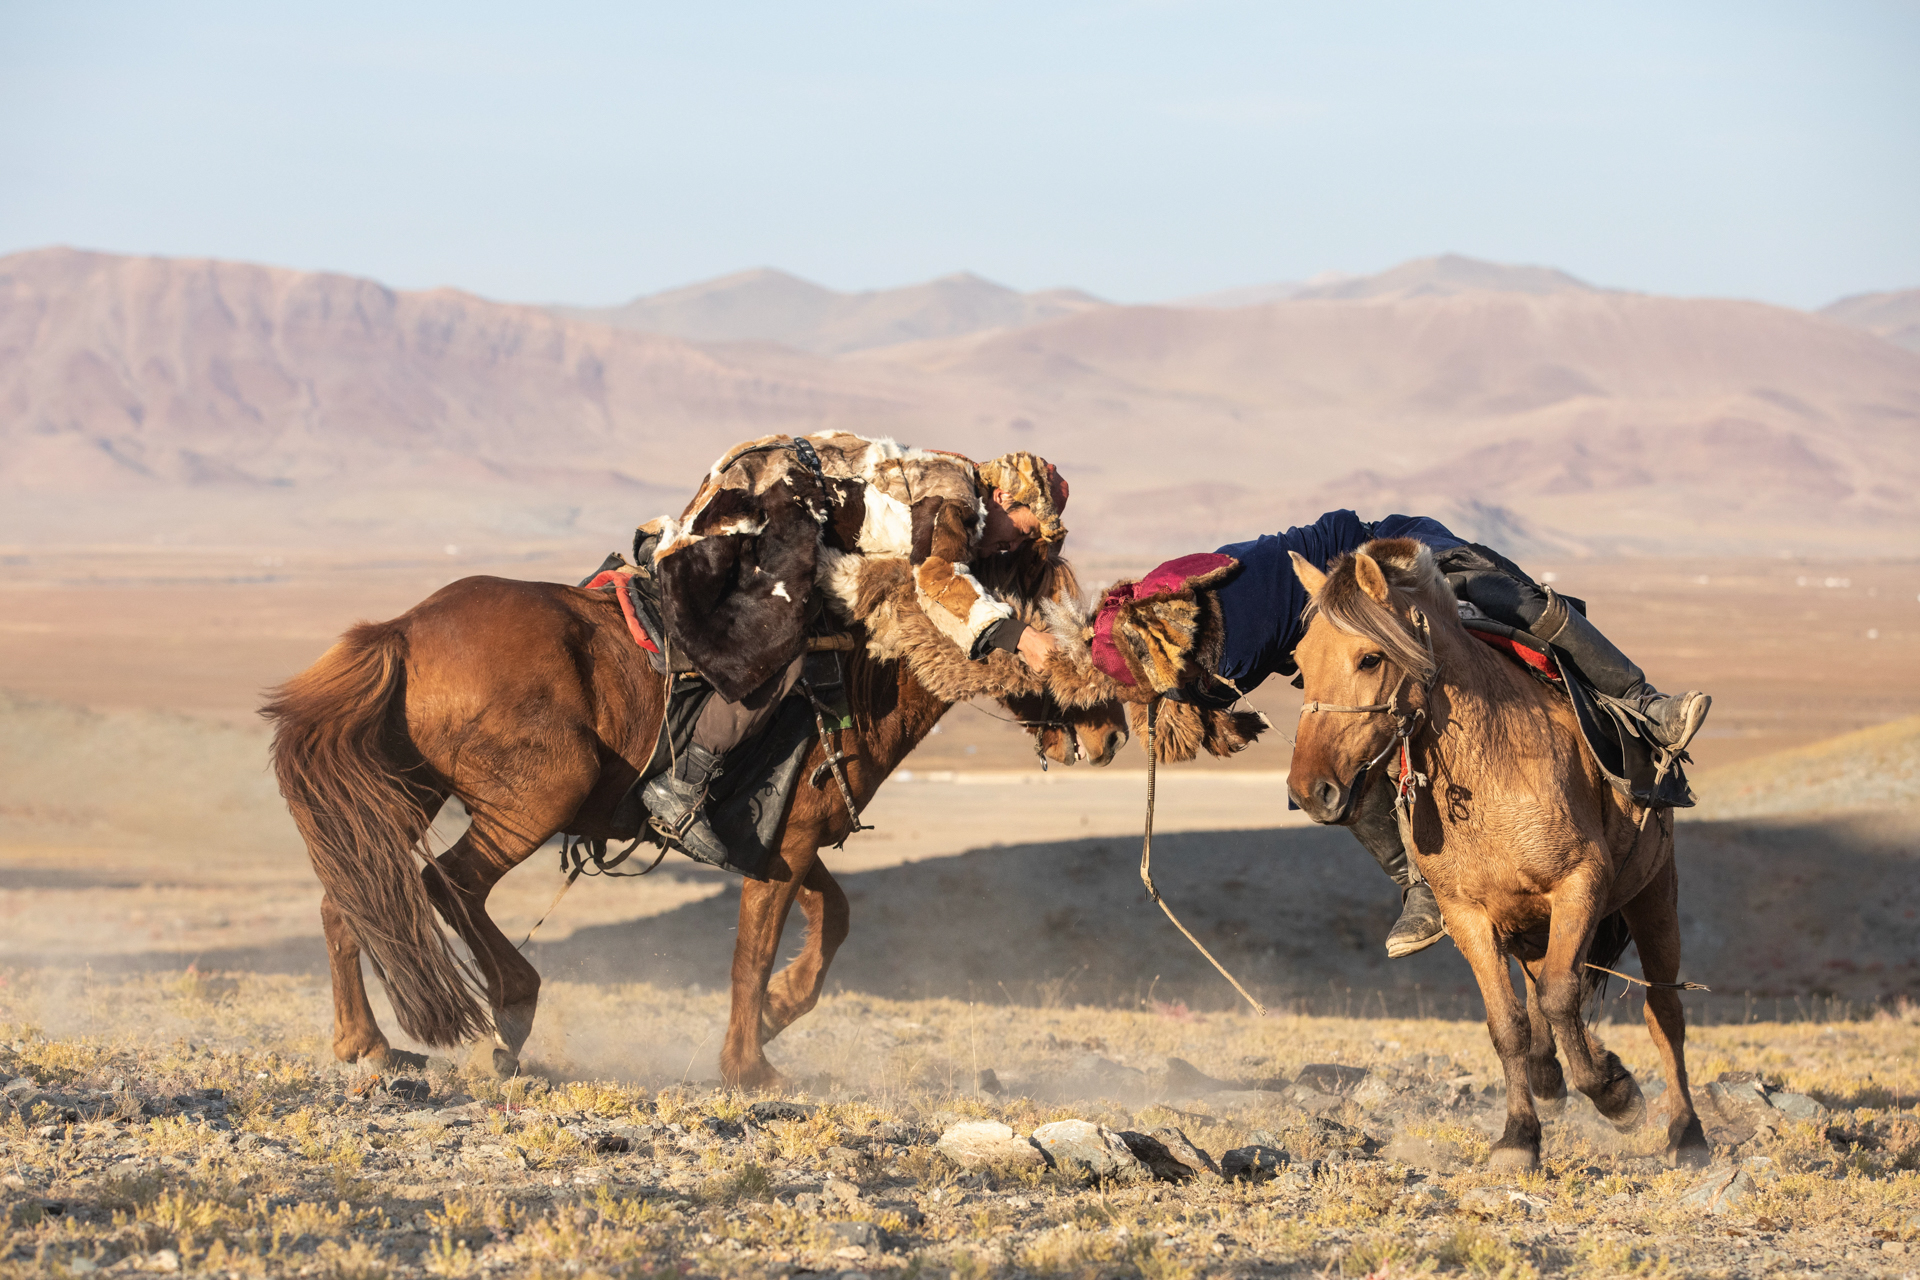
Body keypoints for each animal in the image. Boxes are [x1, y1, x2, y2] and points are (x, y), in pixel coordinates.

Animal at [261, 564, 1121, 1090]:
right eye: (1054, 638)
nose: (1108, 732)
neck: (852, 673)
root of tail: (402, 630)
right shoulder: (785, 848)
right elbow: (751, 955)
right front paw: (750, 1068)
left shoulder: (783, 841)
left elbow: (833, 919)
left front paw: (779, 1014)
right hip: (536, 798)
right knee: (447, 885)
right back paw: (508, 1012)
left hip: (406, 794)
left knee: (355, 899)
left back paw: (367, 1045)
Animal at [1274, 541, 1712, 1174]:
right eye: (1301, 663)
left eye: (1369, 659)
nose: (1311, 790)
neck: (1490, 765)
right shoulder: (1469, 917)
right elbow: (1509, 1023)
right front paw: (1519, 1137)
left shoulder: (1580, 883)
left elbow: (1561, 997)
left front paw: (1615, 1095)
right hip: (1530, 926)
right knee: (1541, 997)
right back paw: (1553, 1076)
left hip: (1654, 898)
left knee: (1662, 1012)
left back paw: (1686, 1133)